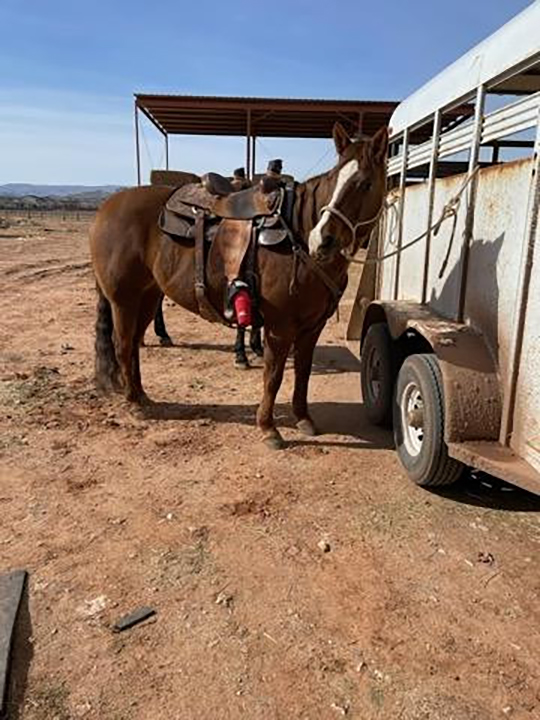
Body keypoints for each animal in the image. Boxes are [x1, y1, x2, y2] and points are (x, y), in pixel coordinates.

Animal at [89, 122, 388, 448]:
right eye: (334, 180)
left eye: (366, 184)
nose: (322, 240)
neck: (296, 234)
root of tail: (106, 208)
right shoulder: (280, 327)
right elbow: (274, 375)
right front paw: (268, 428)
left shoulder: (312, 327)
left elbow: (304, 372)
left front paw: (303, 418)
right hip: (124, 300)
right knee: (122, 345)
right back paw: (133, 403)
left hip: (147, 297)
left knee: (133, 346)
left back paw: (142, 397)